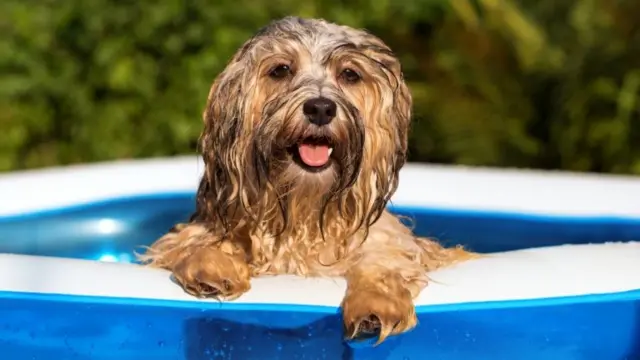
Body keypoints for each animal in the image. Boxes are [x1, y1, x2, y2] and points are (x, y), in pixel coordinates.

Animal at [139, 16, 476, 344]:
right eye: (281, 69)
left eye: (350, 74)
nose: (321, 107)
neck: (303, 208)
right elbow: (193, 243)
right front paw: (211, 265)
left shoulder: (388, 241)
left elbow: (382, 261)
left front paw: (376, 304)